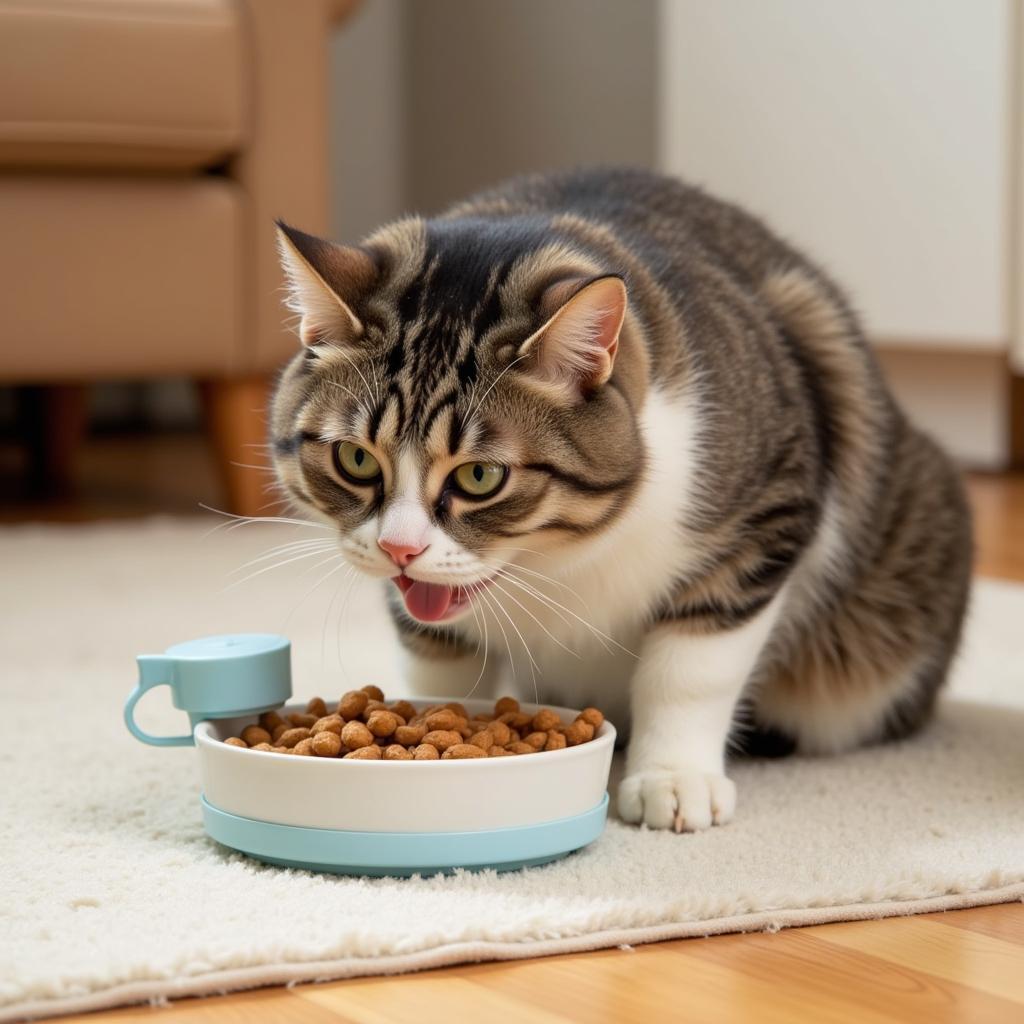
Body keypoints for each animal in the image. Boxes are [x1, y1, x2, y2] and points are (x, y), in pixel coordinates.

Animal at [268, 165, 970, 831]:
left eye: (480, 477)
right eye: (357, 459)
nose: (400, 549)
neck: (556, 567)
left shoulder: (765, 510)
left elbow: (691, 669)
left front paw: (673, 780)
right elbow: (439, 655)